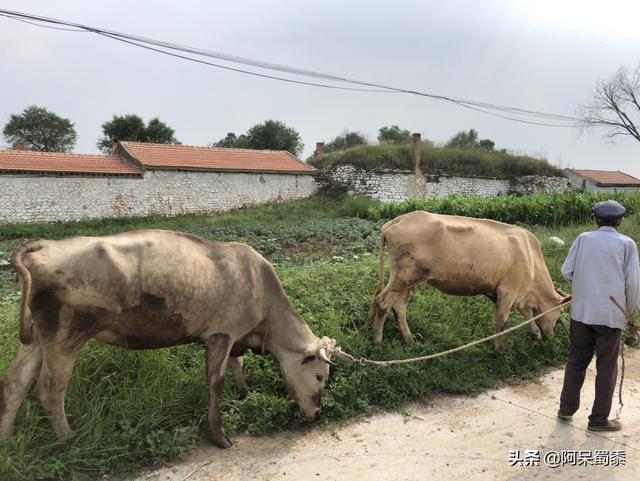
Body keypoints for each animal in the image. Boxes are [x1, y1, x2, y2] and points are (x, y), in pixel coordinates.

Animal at [0, 229, 338, 446]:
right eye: (320, 376)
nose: (317, 412)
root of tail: (43, 246)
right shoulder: (220, 334)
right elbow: (215, 383)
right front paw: (219, 436)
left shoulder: (235, 336)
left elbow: (238, 366)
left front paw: (244, 394)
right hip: (67, 333)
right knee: (49, 390)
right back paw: (69, 441)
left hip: (38, 336)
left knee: (15, 383)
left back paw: (5, 441)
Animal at [364, 212, 564, 346]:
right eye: (561, 313)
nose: (553, 335)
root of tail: (399, 219)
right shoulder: (508, 290)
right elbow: (502, 322)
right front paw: (498, 350)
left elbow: (528, 314)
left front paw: (536, 334)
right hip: (404, 277)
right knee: (383, 302)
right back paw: (378, 341)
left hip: (408, 279)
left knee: (398, 306)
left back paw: (410, 340)